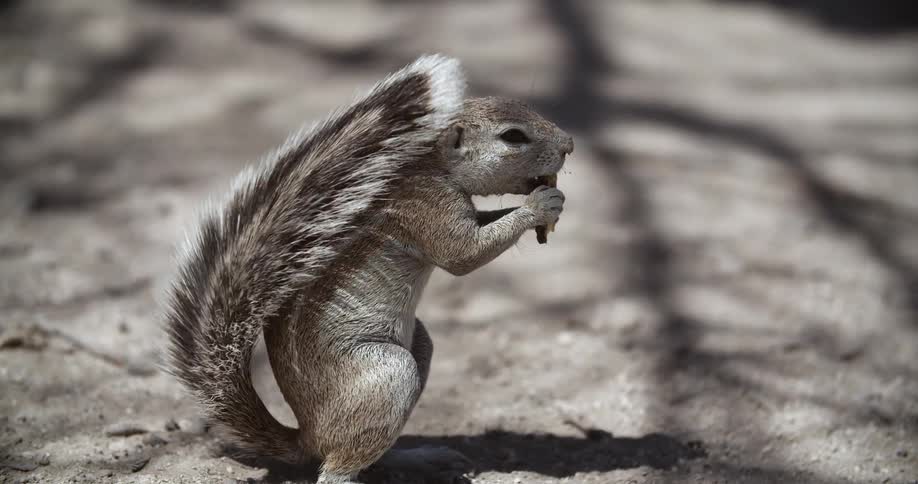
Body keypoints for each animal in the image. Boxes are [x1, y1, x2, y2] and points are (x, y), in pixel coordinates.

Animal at [164, 54, 573, 483]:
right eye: (513, 137)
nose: (570, 145)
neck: (431, 165)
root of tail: (308, 436)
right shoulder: (426, 208)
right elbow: (463, 255)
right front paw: (539, 205)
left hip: (417, 347)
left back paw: (419, 457)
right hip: (390, 373)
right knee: (335, 469)